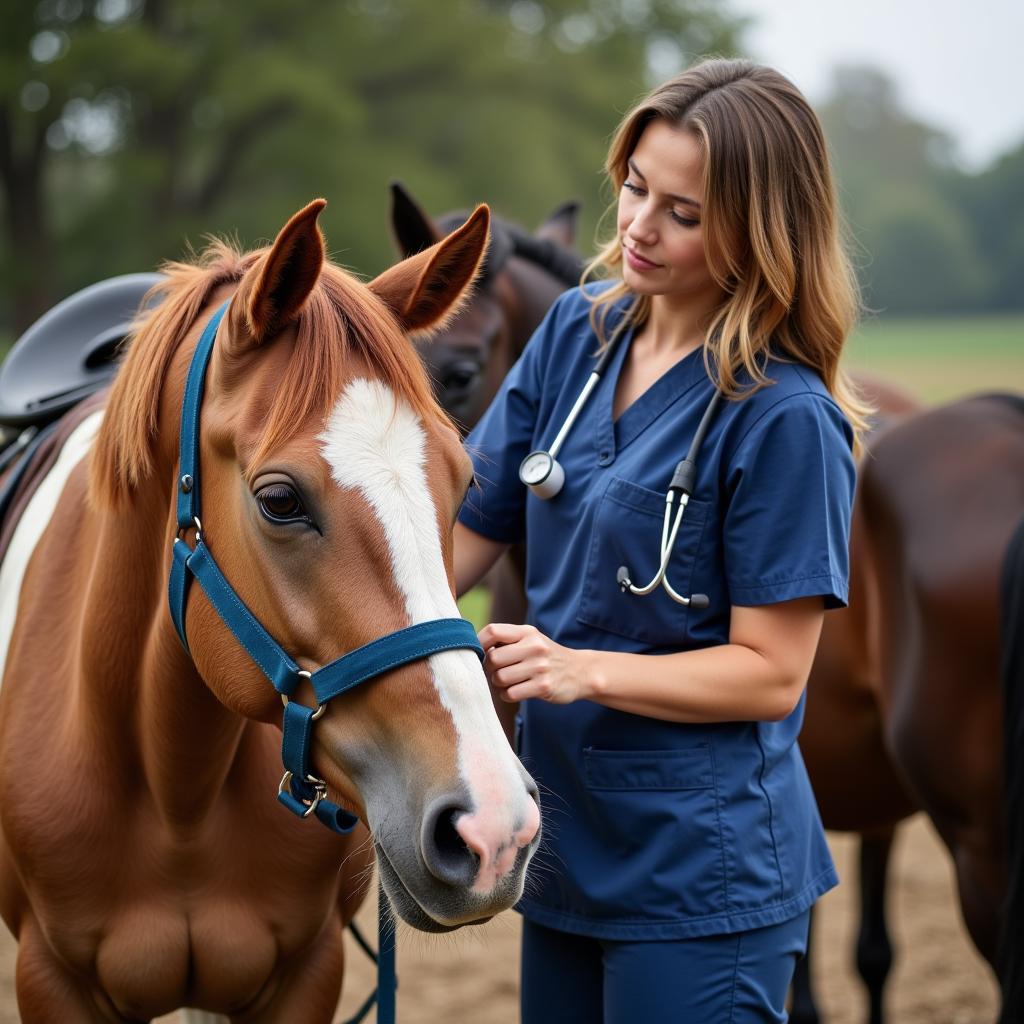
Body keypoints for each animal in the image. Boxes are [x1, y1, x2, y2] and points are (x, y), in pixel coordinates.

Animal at [0, 195, 544, 1019]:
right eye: (280, 501)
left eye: (467, 484)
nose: (492, 826)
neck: (174, 791)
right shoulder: (51, 979)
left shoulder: (303, 973)